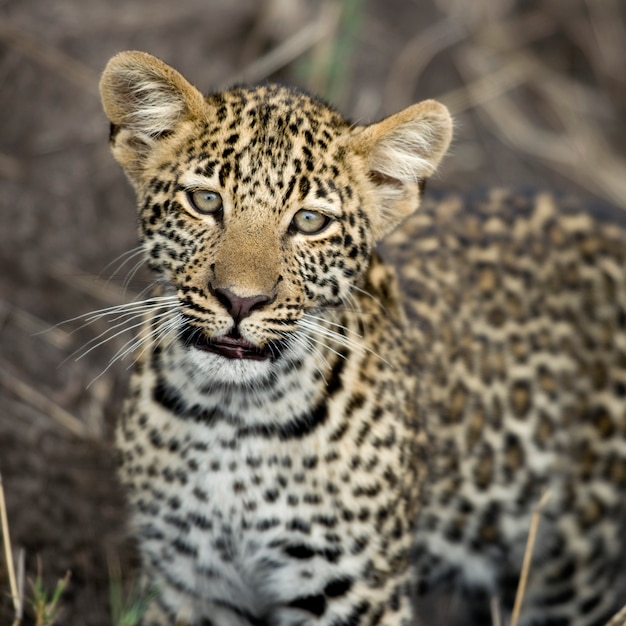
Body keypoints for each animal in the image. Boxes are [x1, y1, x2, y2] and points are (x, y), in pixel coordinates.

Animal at [97, 50, 624, 624]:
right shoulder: (189, 584)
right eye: (205, 200)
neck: (232, 419)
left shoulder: (356, 591)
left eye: (309, 221)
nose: (239, 300)